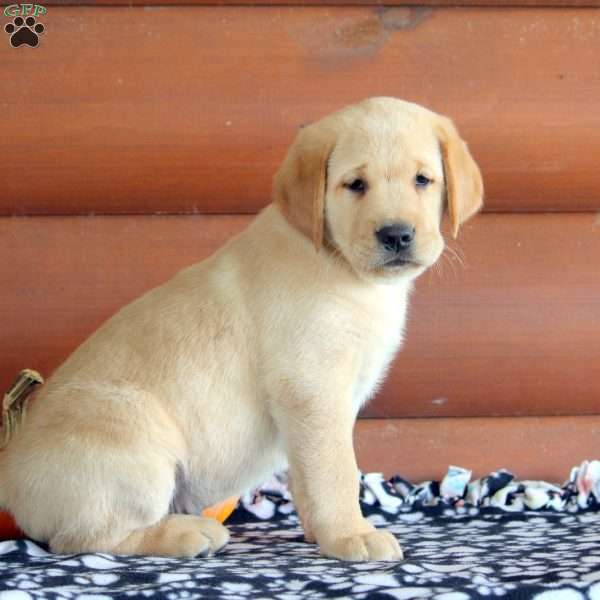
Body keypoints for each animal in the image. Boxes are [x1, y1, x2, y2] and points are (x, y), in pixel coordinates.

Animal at [0, 96, 480, 560]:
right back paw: (187, 533)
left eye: (423, 179)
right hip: (137, 439)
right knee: (82, 538)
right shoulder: (313, 388)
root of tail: (8, 470)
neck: (336, 260)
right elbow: (337, 470)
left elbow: (308, 474)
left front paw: (320, 532)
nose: (396, 235)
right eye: (355, 185)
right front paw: (351, 534)